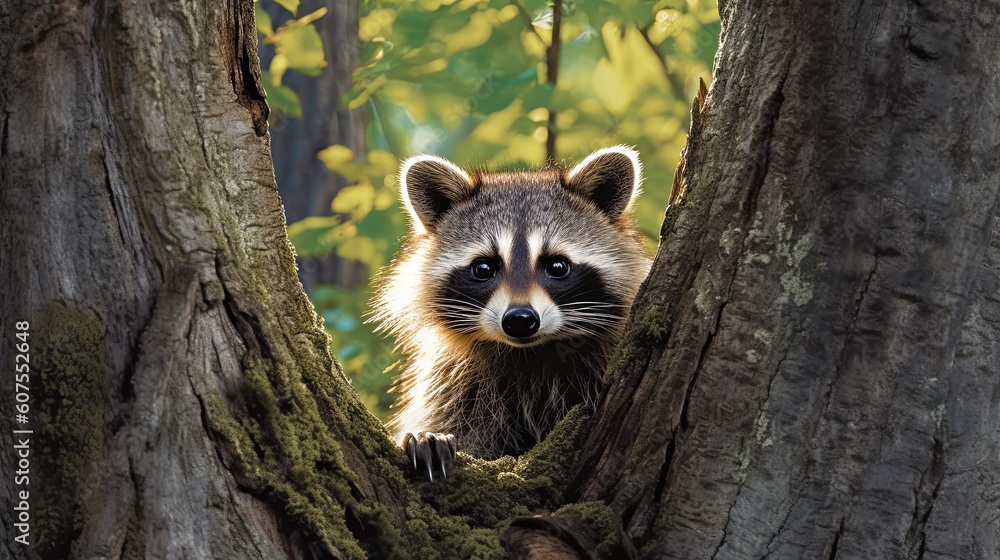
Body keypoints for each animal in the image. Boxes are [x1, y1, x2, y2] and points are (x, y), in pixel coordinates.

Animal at [373, 146, 651, 478]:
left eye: (558, 266)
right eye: (483, 268)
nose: (520, 320)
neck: (529, 354)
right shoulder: (454, 381)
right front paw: (430, 438)